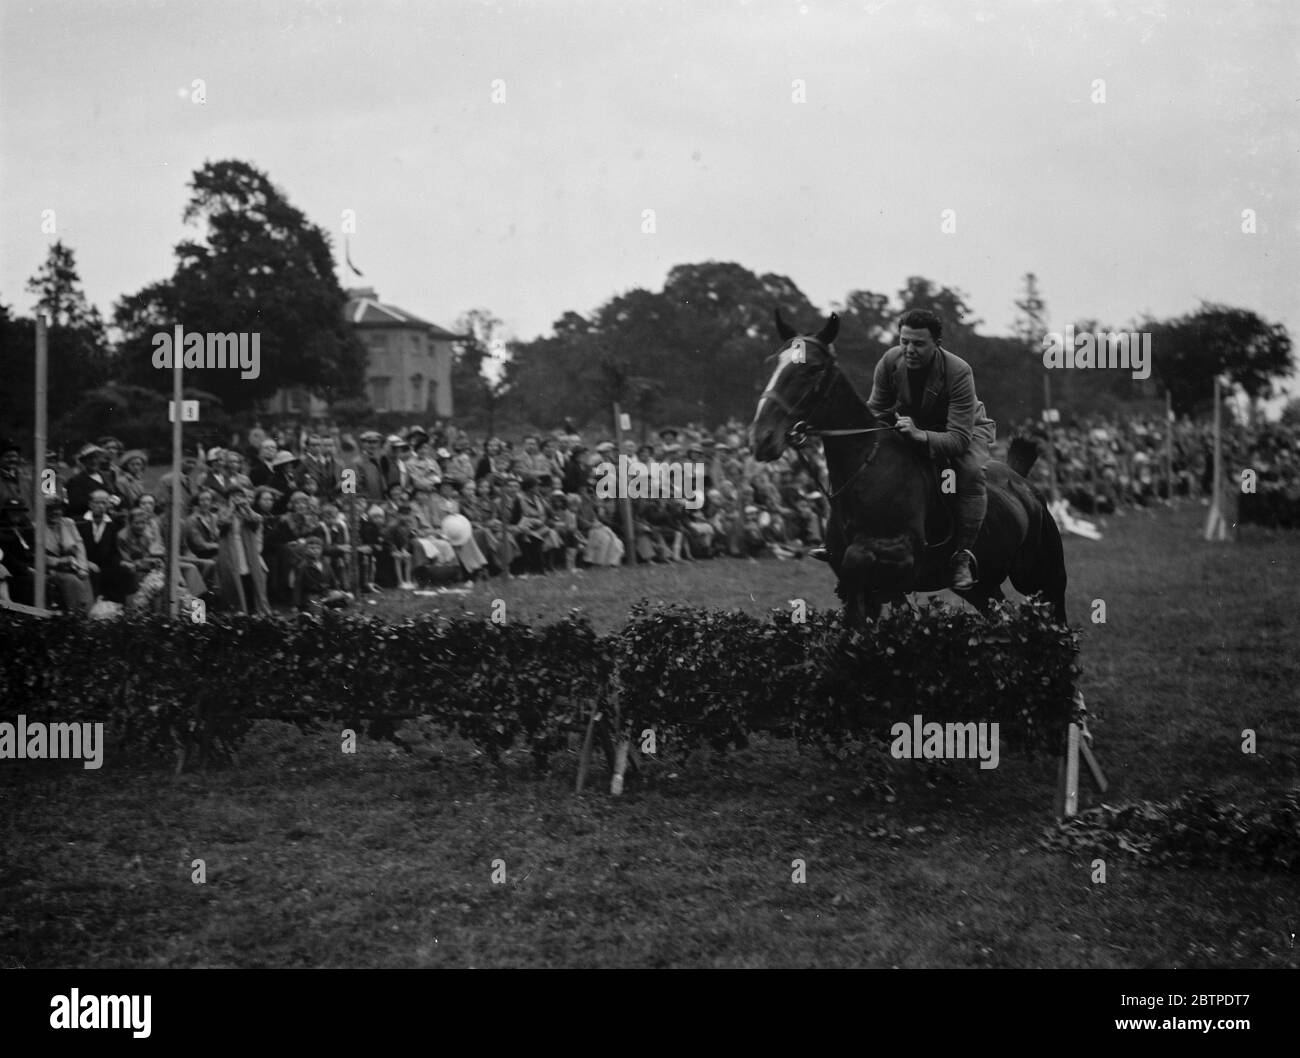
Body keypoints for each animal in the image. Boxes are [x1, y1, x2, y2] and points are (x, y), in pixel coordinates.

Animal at [754, 313, 1066, 629]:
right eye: (772, 363)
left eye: (813, 369)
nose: (762, 439)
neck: (865, 470)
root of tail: (1023, 482)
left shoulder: (902, 554)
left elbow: (858, 560)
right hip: (983, 587)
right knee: (1003, 611)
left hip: (1040, 575)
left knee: (1054, 612)